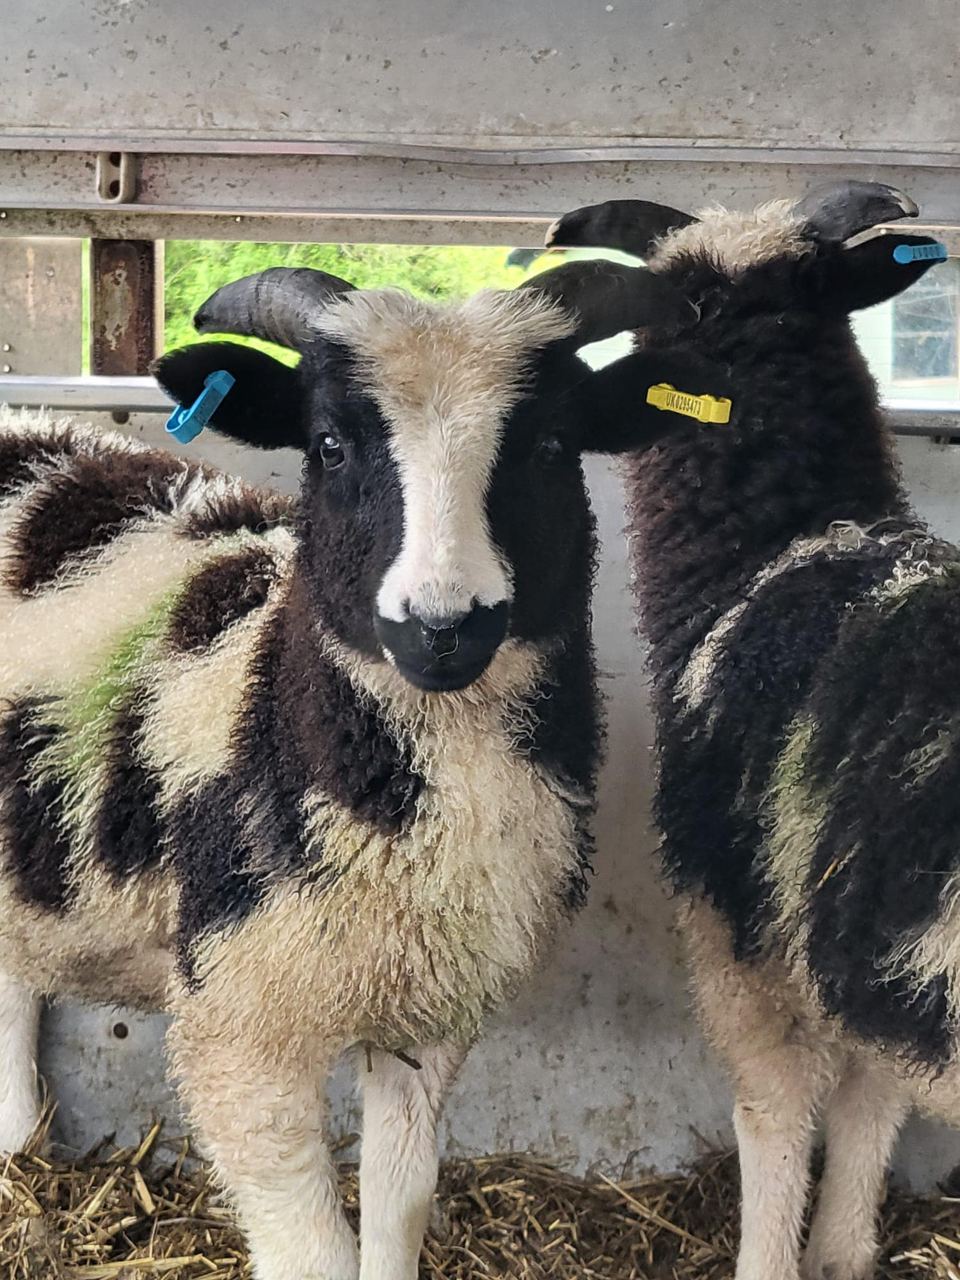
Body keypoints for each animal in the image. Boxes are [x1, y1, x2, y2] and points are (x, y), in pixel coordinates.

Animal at [0, 259, 723, 1280]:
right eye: (331, 446)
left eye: (551, 445)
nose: (442, 626)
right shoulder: (238, 1033)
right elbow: (312, 1253)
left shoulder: (429, 1012)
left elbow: (398, 1210)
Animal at [548, 181, 960, 1280]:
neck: (785, 532)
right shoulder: (851, 937)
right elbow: (870, 1100)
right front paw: (846, 1250)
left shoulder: (744, 927)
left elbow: (775, 1113)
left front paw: (775, 1257)